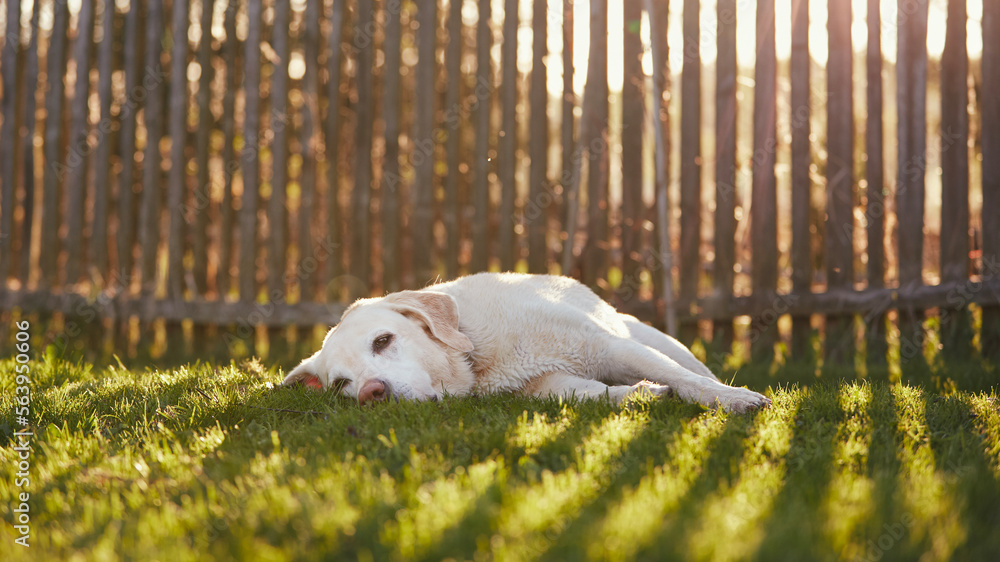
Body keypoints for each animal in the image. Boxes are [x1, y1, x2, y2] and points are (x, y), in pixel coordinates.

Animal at [284, 272, 772, 412]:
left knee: (695, 370)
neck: (478, 355)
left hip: (657, 341)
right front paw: (639, 394)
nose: (372, 393)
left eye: (383, 340)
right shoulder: (543, 386)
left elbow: (688, 381)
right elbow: (592, 393)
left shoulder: (613, 348)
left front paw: (736, 401)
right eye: (341, 385)